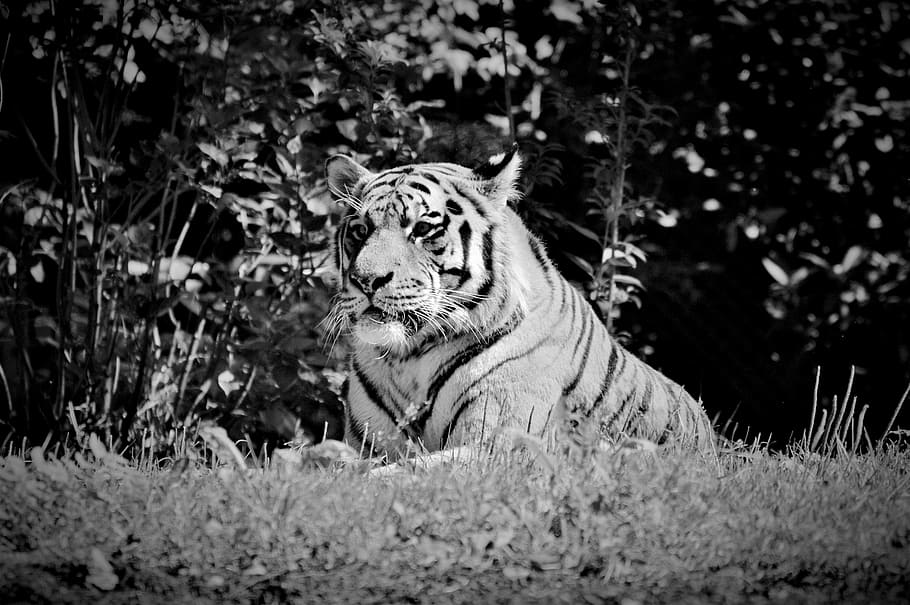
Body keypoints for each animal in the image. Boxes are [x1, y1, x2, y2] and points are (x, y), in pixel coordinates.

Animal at [322, 146, 714, 460]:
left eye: (421, 229)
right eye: (361, 230)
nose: (366, 280)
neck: (409, 358)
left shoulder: (498, 445)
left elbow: (401, 474)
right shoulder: (368, 443)